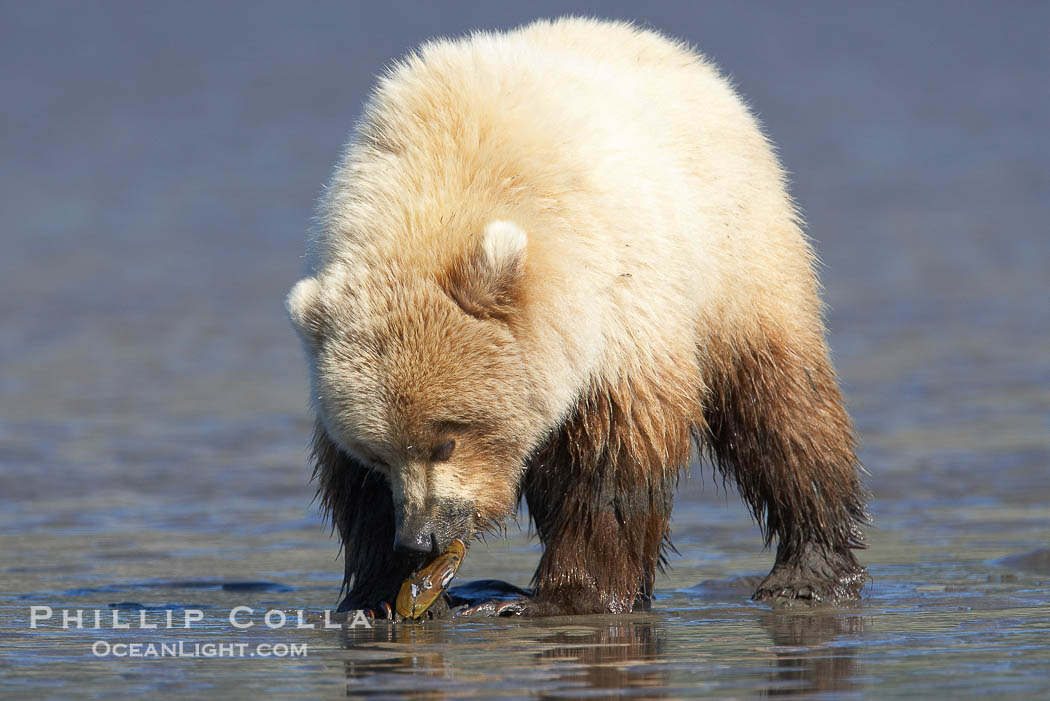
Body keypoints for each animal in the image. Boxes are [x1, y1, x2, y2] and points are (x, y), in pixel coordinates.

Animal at [287, 17, 869, 618]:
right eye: (376, 454)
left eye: (447, 438)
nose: (422, 536)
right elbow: (356, 493)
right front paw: (382, 593)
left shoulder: (618, 302)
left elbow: (612, 462)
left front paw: (563, 595)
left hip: (737, 259)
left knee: (781, 408)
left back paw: (808, 569)